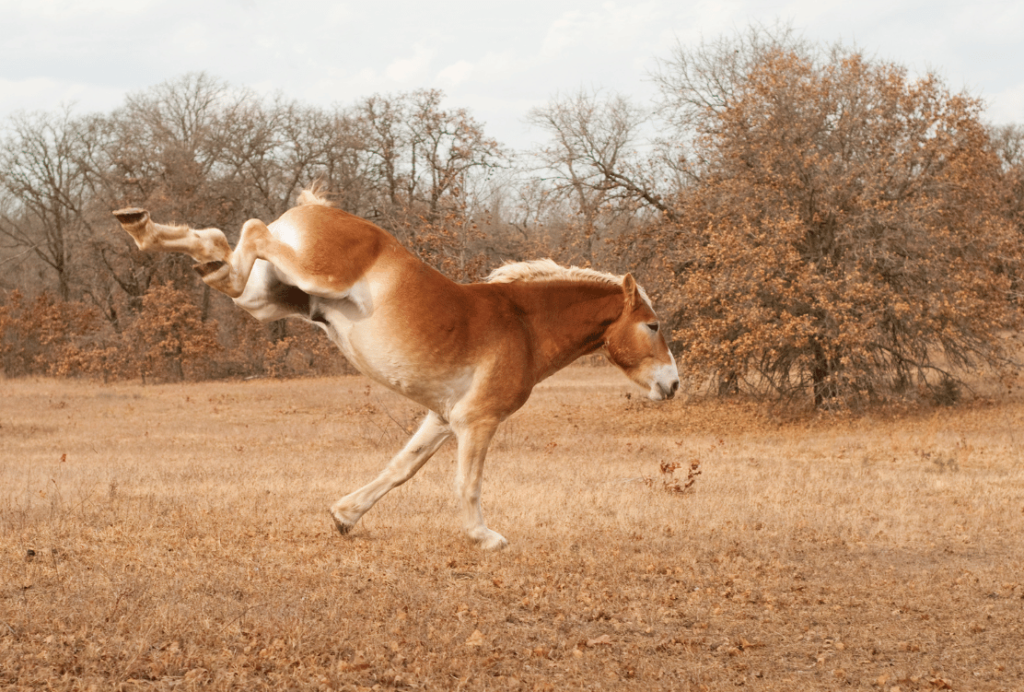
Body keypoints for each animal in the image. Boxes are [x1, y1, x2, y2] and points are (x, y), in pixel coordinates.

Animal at [114, 186, 679, 548]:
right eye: (652, 325)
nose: (672, 384)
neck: (523, 324)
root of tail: (315, 210)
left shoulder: (443, 418)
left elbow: (401, 468)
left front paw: (345, 517)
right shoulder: (476, 422)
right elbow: (467, 483)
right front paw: (486, 537)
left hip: (264, 299)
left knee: (217, 254)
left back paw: (142, 225)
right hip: (309, 277)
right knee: (247, 232)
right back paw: (140, 223)